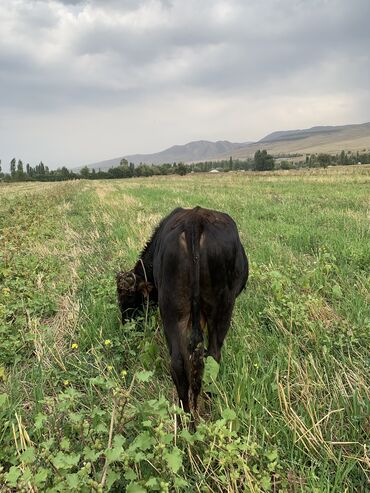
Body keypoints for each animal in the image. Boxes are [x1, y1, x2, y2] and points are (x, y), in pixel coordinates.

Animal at [115, 206, 249, 414]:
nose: (125, 327)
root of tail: (194, 223)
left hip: (172, 312)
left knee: (179, 364)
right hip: (222, 311)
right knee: (213, 356)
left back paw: (185, 414)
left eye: (130, 300)